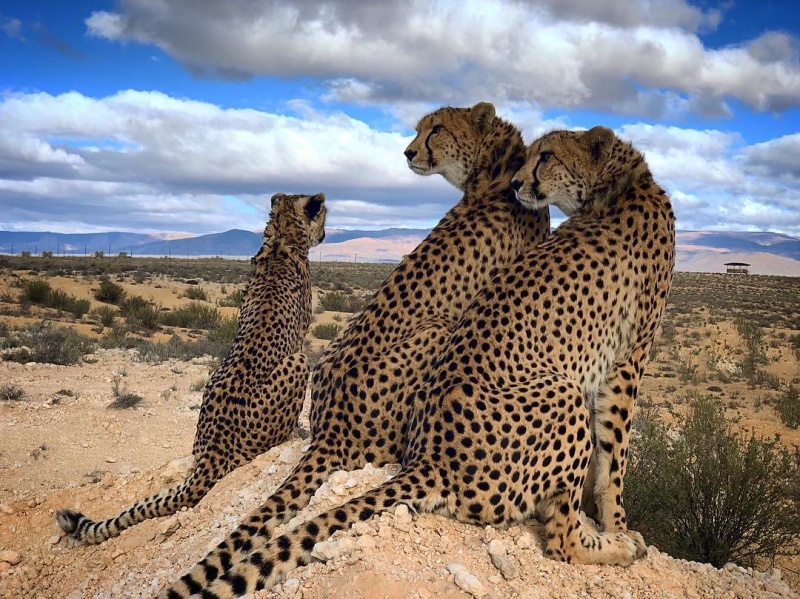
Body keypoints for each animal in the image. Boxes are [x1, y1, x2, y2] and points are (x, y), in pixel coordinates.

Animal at [56, 192, 326, 544]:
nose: (325, 234)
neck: (281, 236)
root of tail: (213, 452)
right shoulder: (300, 341)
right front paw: (301, 430)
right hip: (297, 363)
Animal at [159, 125, 672, 596]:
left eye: (545, 156)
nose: (517, 184)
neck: (620, 184)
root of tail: (431, 459)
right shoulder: (629, 359)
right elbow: (615, 460)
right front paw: (619, 525)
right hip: (554, 388)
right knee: (561, 539)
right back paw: (618, 548)